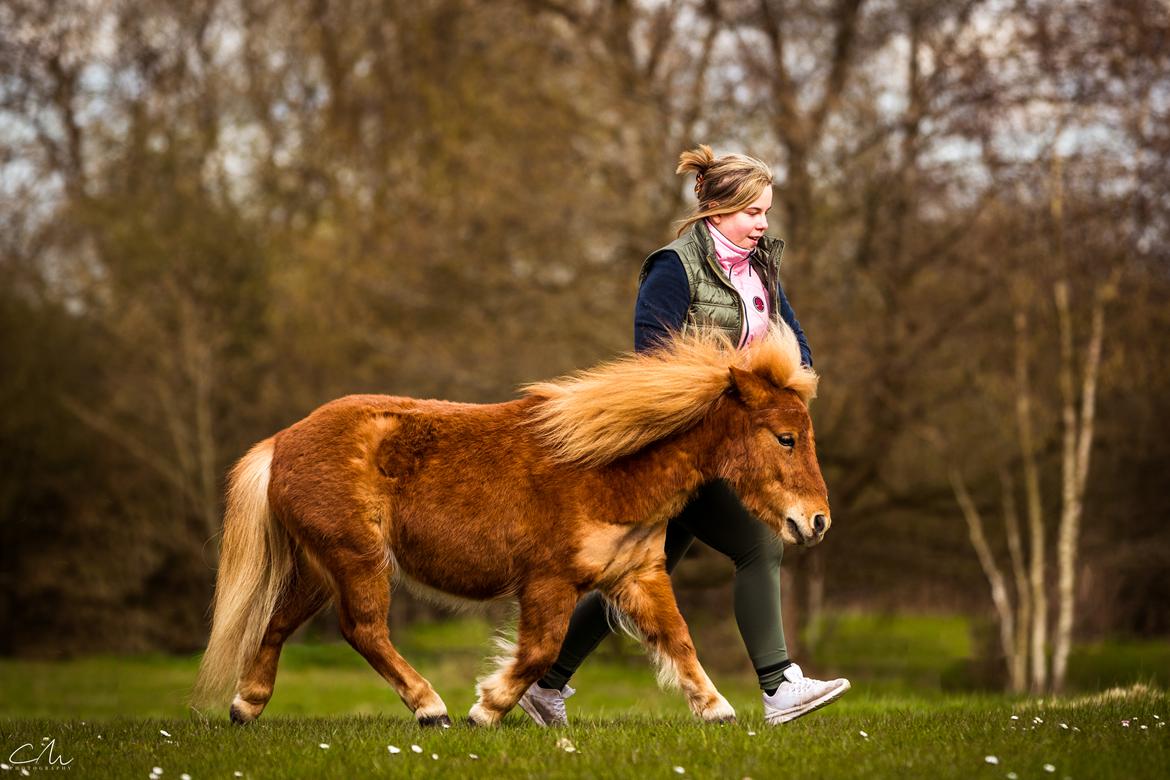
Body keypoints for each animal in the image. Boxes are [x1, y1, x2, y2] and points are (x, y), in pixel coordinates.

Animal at [194, 325, 833, 725]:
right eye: (785, 438)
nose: (816, 521)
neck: (605, 466)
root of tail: (282, 442)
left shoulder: (638, 576)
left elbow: (677, 639)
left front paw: (716, 708)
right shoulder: (547, 582)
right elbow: (539, 651)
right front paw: (487, 708)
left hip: (320, 567)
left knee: (278, 624)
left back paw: (247, 706)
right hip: (356, 561)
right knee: (363, 631)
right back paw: (431, 708)